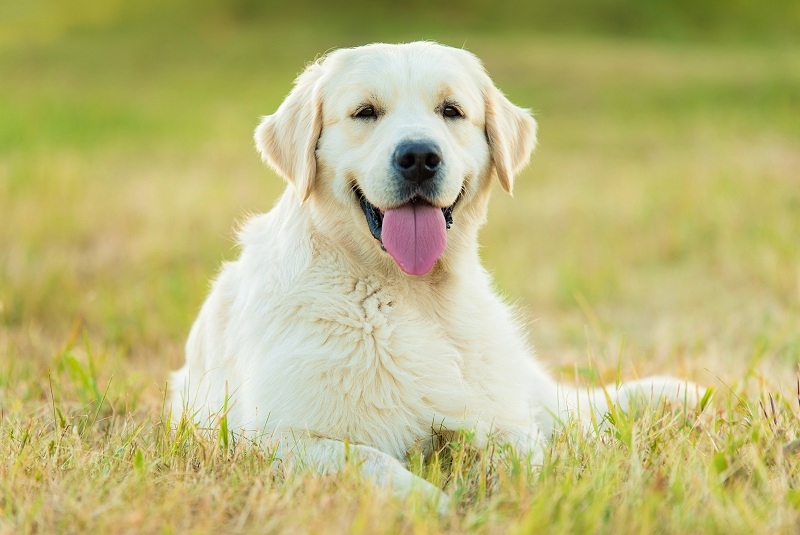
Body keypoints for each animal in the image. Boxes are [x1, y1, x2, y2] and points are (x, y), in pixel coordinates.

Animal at [172, 39, 704, 508]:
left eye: (451, 110)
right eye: (365, 112)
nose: (419, 157)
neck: (408, 294)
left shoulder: (502, 419)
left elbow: (527, 460)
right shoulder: (274, 436)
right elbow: (373, 462)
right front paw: (436, 506)